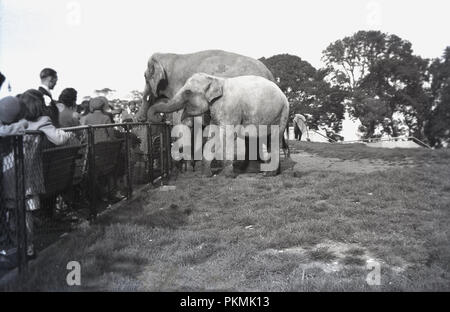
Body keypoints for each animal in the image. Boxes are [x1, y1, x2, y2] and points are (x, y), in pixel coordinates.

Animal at [149, 72, 290, 177]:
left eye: (187, 92)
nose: (157, 118)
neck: (215, 79)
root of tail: (283, 94)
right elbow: (213, 135)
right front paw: (206, 175)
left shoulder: (229, 108)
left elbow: (228, 135)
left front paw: (227, 176)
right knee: (267, 139)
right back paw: (271, 172)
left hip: (282, 113)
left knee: (274, 138)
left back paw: (269, 174)